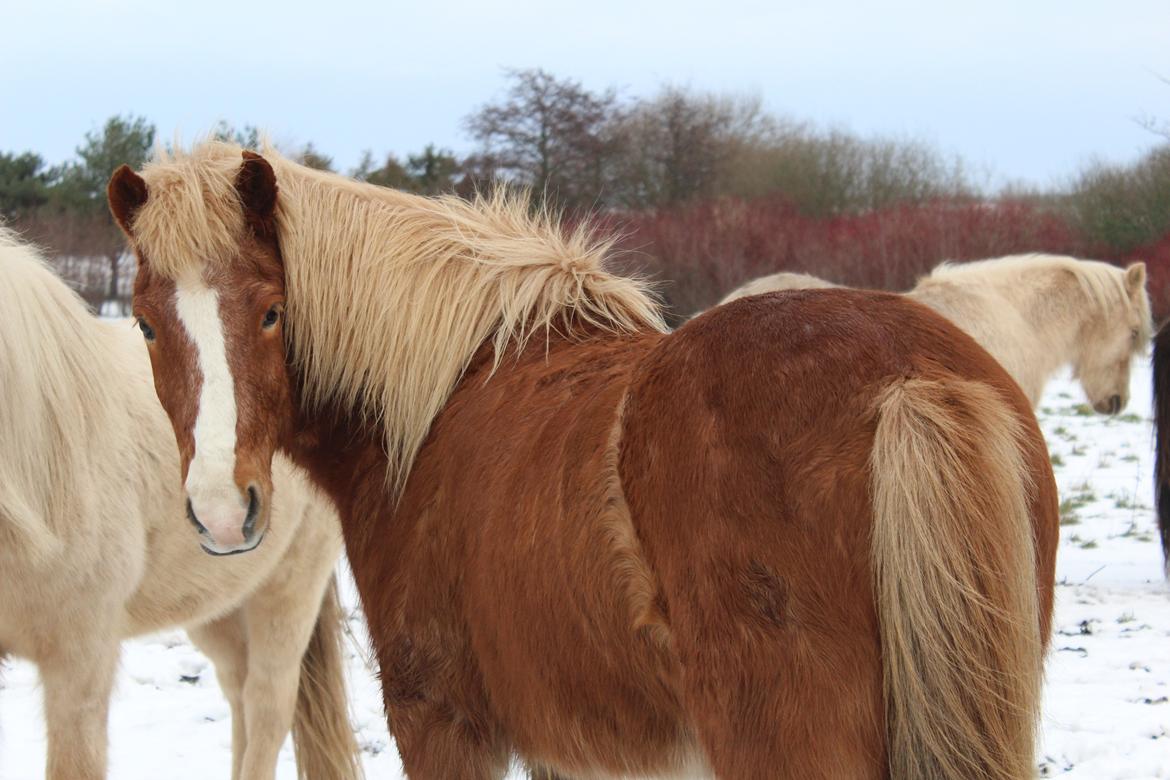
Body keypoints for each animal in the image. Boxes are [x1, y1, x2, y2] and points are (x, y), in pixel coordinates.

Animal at [109, 141, 1059, 780]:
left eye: (272, 312)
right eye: (146, 324)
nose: (224, 507)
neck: (439, 397)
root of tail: (911, 380)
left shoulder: (441, 723)